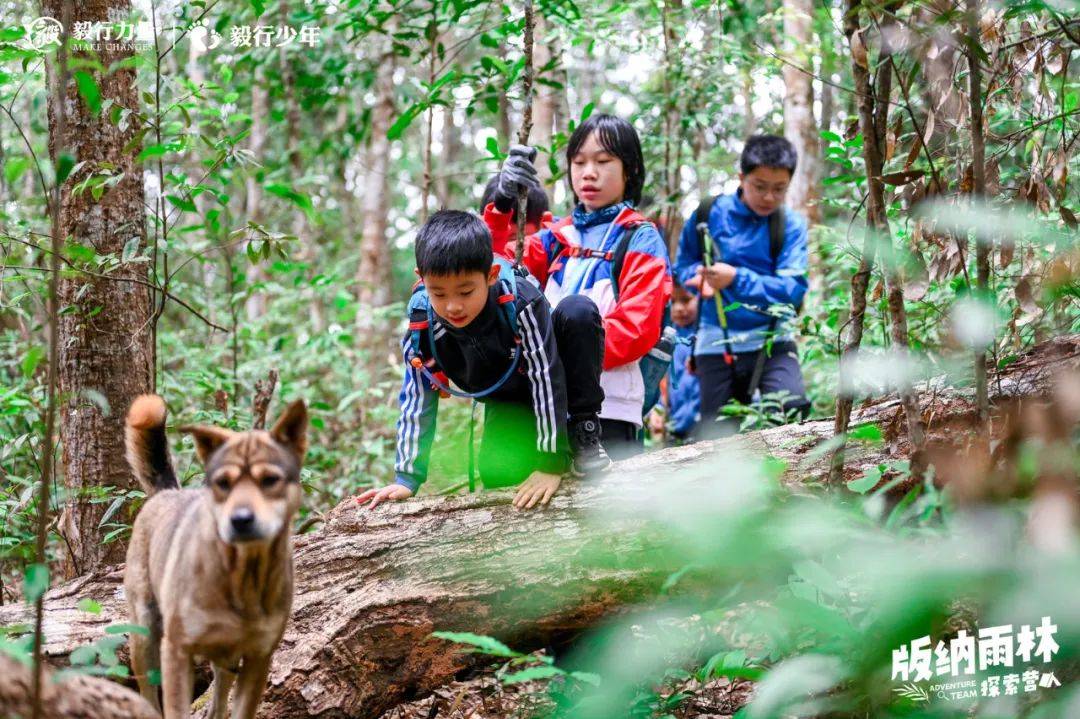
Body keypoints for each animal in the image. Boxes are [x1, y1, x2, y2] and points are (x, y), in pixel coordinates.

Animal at [123, 395, 308, 712]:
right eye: (222, 483)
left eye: (270, 480)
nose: (241, 520)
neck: (243, 577)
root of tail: (168, 492)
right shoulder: (176, 650)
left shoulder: (258, 658)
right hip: (144, 635)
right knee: (147, 691)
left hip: (227, 662)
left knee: (218, 702)